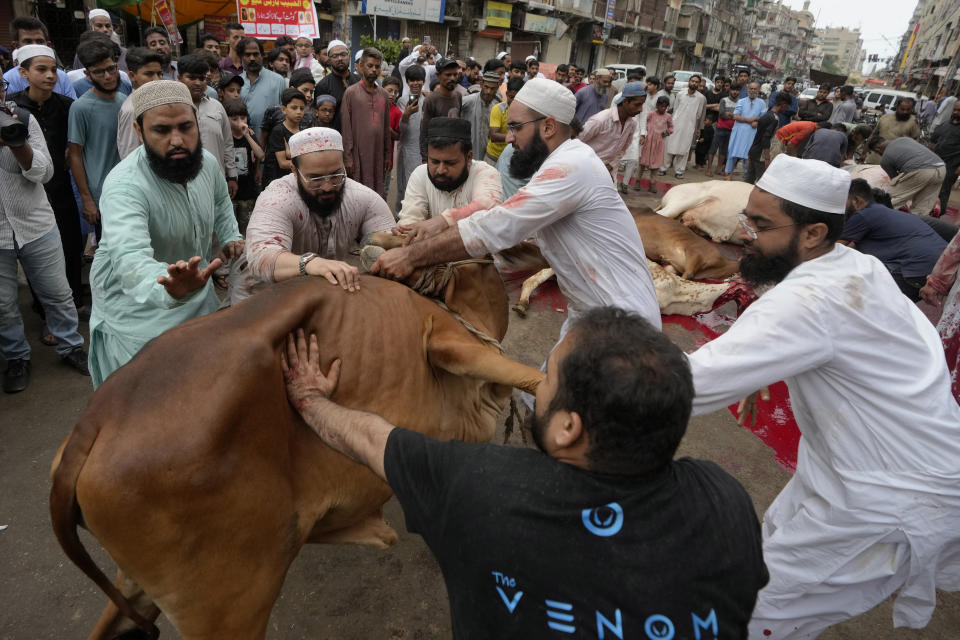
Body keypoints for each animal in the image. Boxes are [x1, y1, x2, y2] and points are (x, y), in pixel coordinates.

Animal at [48, 262, 544, 640]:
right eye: (484, 271)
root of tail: (95, 422)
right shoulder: (448, 339)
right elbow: (525, 374)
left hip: (138, 586)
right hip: (229, 609)